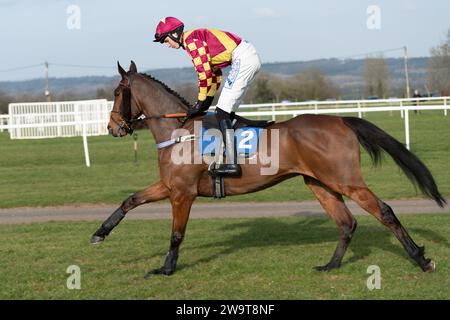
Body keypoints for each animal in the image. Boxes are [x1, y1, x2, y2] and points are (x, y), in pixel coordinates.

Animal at [89, 60, 444, 278]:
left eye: (117, 92)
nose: (112, 128)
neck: (180, 131)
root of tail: (341, 120)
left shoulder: (183, 194)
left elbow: (176, 234)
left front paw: (166, 269)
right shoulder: (169, 186)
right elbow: (130, 200)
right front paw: (99, 233)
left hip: (346, 180)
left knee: (384, 212)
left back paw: (421, 259)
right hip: (319, 183)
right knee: (347, 223)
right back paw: (330, 265)